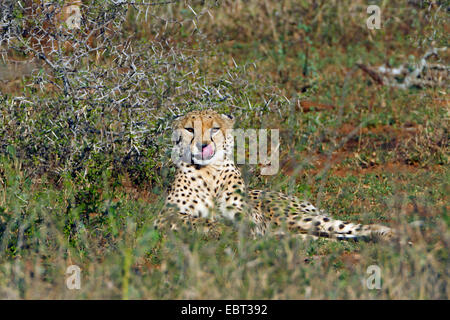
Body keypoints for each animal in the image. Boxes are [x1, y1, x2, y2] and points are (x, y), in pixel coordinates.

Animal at [156, 109, 396, 241]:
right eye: (190, 129)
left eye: (214, 128)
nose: (203, 145)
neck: (208, 172)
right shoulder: (163, 217)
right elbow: (195, 220)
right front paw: (217, 228)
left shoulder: (253, 218)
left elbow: (242, 222)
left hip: (294, 216)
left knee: (347, 227)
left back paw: (390, 235)